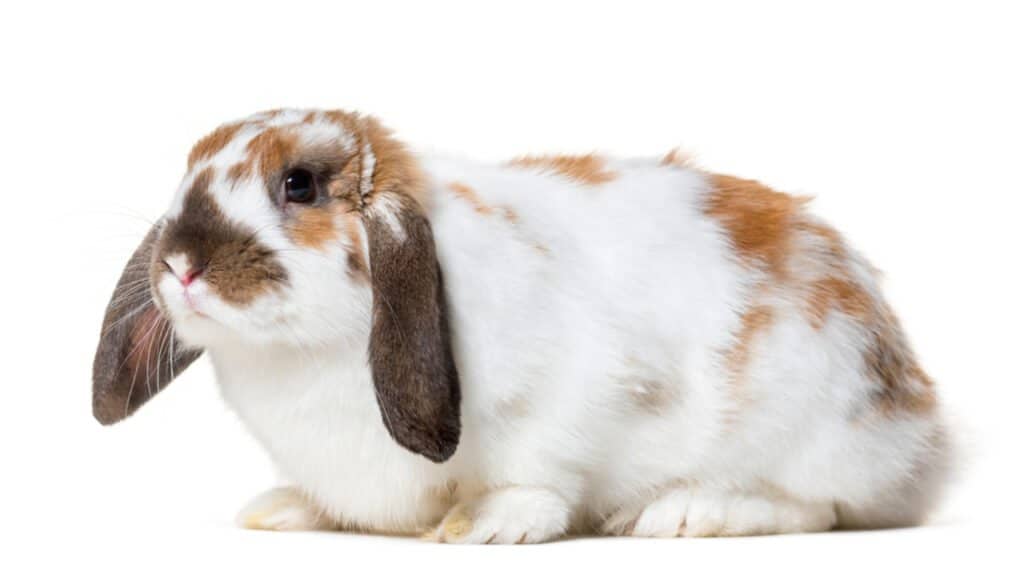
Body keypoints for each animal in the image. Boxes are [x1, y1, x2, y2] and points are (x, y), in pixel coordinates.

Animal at [94, 108, 950, 541]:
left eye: (299, 185)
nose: (180, 264)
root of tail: (923, 429)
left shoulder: (569, 400)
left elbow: (539, 471)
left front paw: (487, 524)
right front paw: (285, 509)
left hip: (809, 424)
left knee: (818, 507)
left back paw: (682, 512)